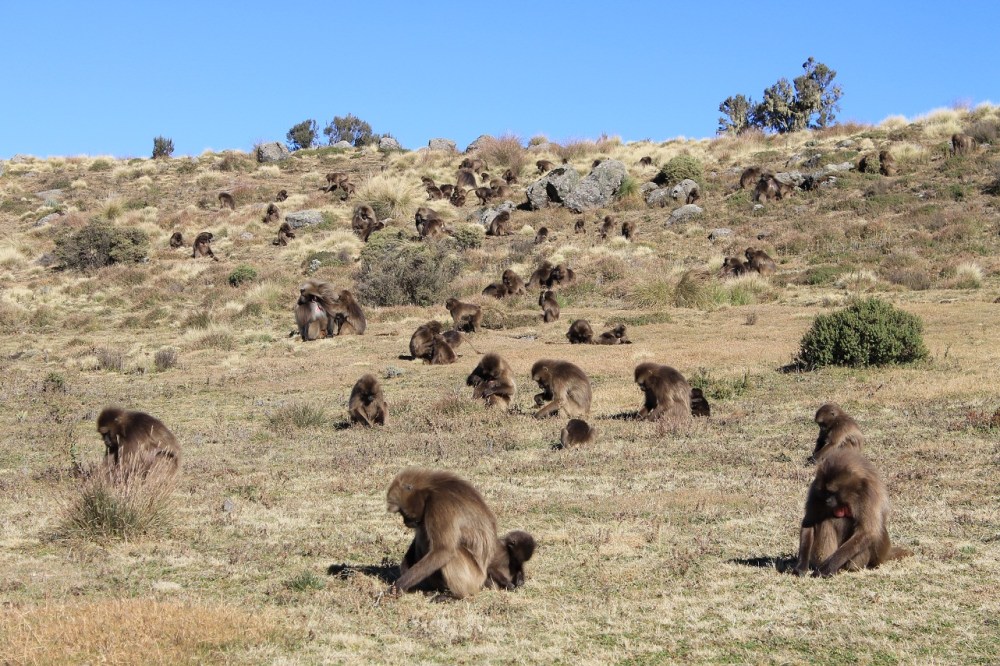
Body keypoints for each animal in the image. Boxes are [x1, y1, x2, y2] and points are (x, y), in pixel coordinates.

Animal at [386, 468, 498, 599]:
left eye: (403, 512)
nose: (405, 522)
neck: (429, 491)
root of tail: (483, 577)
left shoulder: (440, 505)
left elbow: (444, 550)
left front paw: (399, 584)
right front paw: (405, 567)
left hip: (474, 578)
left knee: (452, 552)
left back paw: (456, 596)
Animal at [793, 449, 911, 577]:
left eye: (831, 492)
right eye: (825, 492)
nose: (827, 501)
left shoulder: (868, 494)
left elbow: (867, 532)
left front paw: (827, 568)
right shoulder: (815, 488)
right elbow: (809, 521)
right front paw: (801, 566)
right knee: (825, 521)